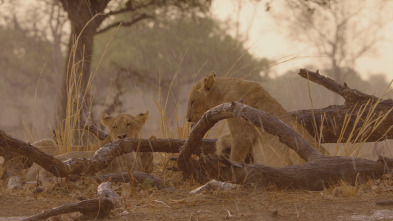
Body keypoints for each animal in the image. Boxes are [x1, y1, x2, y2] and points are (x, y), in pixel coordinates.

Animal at [187, 71, 328, 167]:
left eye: (192, 102)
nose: (188, 119)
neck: (225, 90)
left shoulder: (243, 132)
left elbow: (235, 156)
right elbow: (223, 138)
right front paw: (220, 150)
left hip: (295, 151)